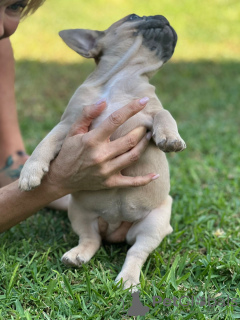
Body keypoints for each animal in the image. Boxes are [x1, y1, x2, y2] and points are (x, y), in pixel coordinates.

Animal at [19, 13, 187, 290]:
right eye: (133, 17)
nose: (163, 17)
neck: (122, 79)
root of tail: (116, 229)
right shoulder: (69, 123)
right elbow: (45, 142)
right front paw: (30, 173)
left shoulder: (151, 111)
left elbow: (165, 114)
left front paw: (171, 138)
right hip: (80, 213)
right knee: (91, 239)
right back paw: (77, 255)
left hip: (154, 222)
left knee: (136, 251)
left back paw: (128, 279)